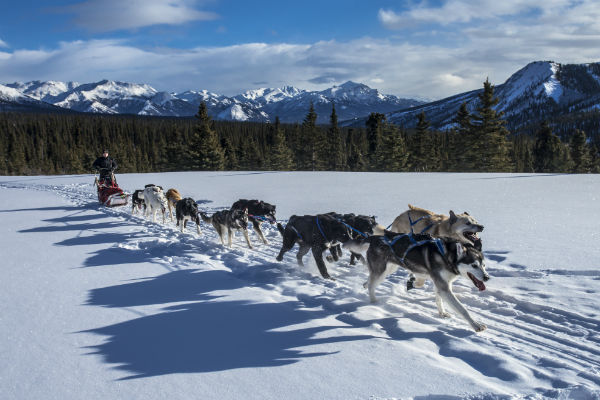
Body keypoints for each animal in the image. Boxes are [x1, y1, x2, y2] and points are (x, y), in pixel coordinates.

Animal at [344, 231, 490, 332]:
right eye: (474, 265)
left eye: (483, 265)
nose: (487, 277)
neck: (448, 256)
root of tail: (376, 237)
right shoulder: (443, 285)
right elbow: (462, 309)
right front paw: (476, 325)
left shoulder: (441, 283)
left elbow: (437, 298)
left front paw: (442, 313)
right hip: (381, 271)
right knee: (372, 285)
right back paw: (374, 301)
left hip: (388, 269)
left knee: (370, 280)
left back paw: (365, 284)